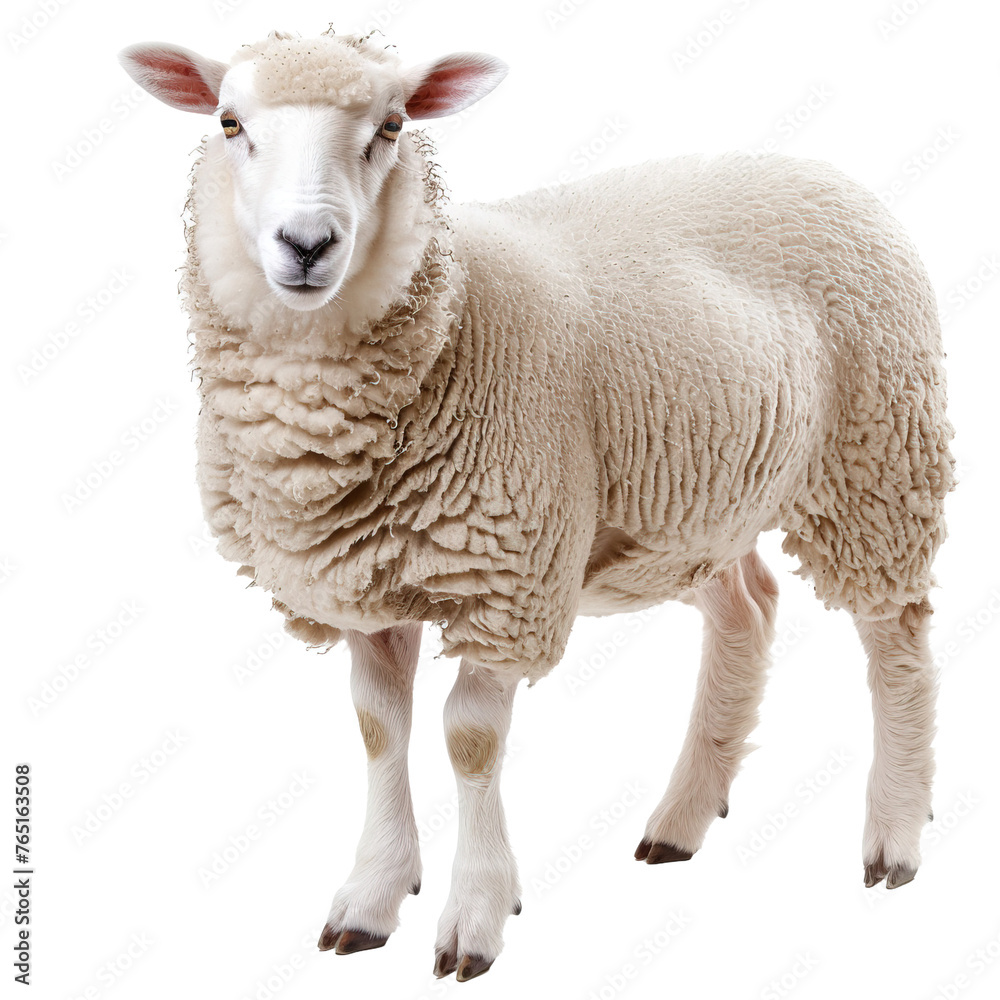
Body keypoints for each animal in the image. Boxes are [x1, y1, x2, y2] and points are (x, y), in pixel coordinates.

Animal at [118, 28, 955, 982]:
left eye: (392, 125)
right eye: (230, 122)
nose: (306, 243)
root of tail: (822, 170)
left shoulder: (509, 576)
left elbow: (469, 738)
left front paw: (475, 917)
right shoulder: (363, 581)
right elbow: (379, 729)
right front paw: (371, 898)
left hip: (877, 460)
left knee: (897, 644)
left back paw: (895, 836)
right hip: (697, 501)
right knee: (747, 611)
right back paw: (683, 819)